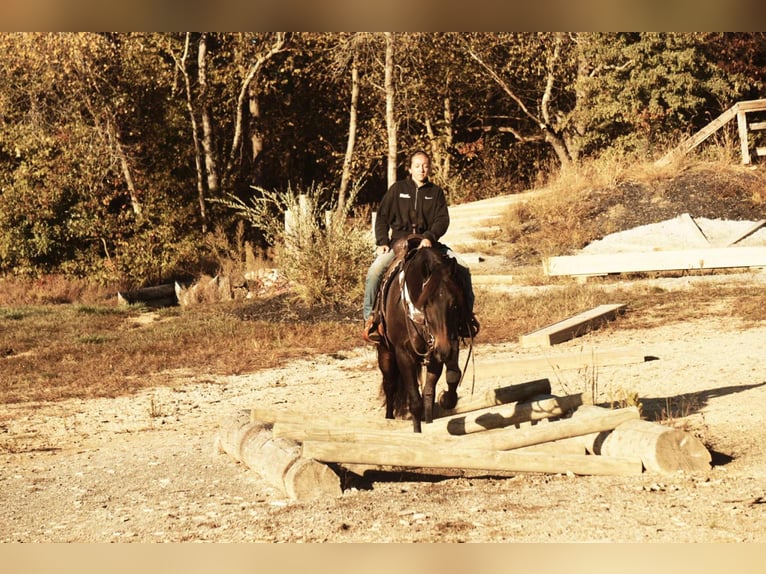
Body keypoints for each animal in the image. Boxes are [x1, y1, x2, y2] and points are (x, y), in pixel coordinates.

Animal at [376, 241, 473, 433]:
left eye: (455, 304)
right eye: (426, 302)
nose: (444, 349)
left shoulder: (442, 348)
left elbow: (434, 390)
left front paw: (444, 401)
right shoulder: (404, 354)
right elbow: (415, 401)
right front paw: (417, 432)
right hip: (385, 352)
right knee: (389, 384)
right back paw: (389, 418)